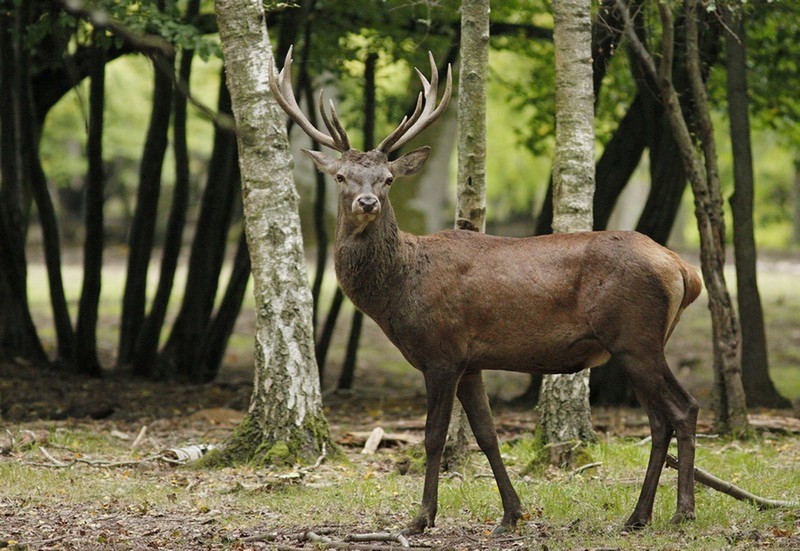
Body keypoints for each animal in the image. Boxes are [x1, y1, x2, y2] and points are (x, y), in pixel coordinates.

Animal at [269, 48, 703, 536]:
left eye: (387, 179)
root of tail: (684, 270)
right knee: (661, 419)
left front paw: (421, 518)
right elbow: (487, 435)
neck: (398, 292)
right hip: (638, 343)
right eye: (342, 176)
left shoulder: (441, 351)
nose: (368, 203)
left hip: (635, 337)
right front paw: (512, 514)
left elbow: (434, 436)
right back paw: (642, 515)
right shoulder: (471, 361)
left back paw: (678, 511)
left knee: (682, 409)